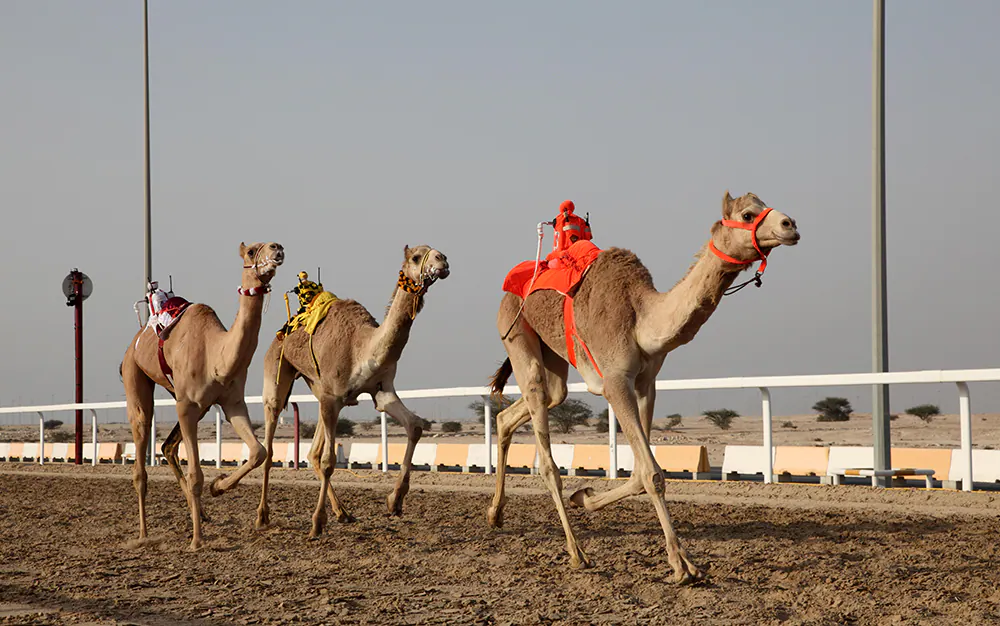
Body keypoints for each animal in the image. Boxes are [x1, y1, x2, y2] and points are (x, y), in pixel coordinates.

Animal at [124, 239, 286, 544]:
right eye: (251, 251)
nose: (277, 248)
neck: (216, 356)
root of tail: (137, 337)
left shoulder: (232, 402)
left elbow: (258, 452)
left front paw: (218, 486)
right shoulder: (187, 406)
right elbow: (196, 474)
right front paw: (196, 541)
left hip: (191, 402)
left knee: (168, 446)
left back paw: (199, 513)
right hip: (135, 375)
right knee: (142, 442)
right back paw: (143, 533)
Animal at [488, 193, 800, 584]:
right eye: (747, 214)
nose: (790, 225)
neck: (641, 318)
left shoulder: (646, 384)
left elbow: (639, 472)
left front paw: (584, 496)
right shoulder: (614, 382)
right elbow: (652, 473)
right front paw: (682, 566)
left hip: (553, 357)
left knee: (528, 406)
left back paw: (495, 513)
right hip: (514, 329)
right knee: (545, 449)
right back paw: (576, 553)